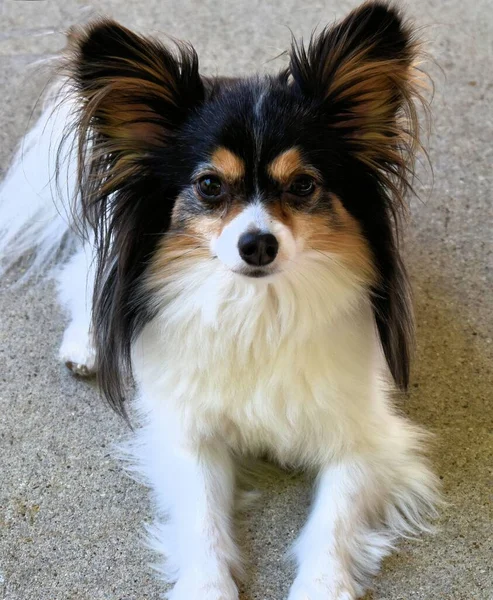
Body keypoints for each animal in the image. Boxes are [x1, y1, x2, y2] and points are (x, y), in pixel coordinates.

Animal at [0, 2, 438, 596]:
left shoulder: (364, 437)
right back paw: (87, 345)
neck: (258, 307)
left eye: (303, 185)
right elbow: (203, 518)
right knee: (84, 277)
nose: (258, 244)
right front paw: (208, 585)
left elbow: (334, 519)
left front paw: (322, 585)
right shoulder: (190, 434)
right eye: (209, 186)